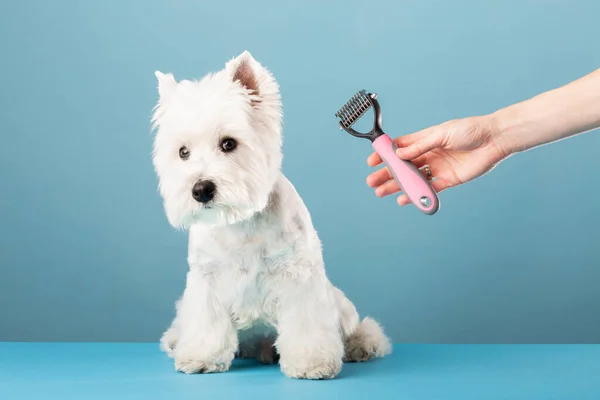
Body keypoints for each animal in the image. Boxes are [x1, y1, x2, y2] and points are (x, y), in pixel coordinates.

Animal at [152, 50, 392, 378]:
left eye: (229, 143)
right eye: (183, 152)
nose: (201, 190)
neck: (240, 223)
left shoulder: (299, 275)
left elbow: (307, 324)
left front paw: (312, 362)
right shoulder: (206, 278)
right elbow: (206, 322)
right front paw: (200, 357)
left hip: (339, 303)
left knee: (357, 325)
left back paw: (361, 345)